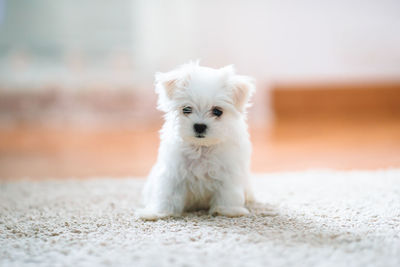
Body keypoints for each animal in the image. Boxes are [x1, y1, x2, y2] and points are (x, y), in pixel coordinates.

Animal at [136, 61, 255, 221]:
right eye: (186, 109)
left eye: (217, 111)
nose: (199, 126)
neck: (201, 148)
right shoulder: (173, 172)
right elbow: (167, 195)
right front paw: (158, 213)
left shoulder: (228, 172)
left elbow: (228, 193)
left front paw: (227, 211)